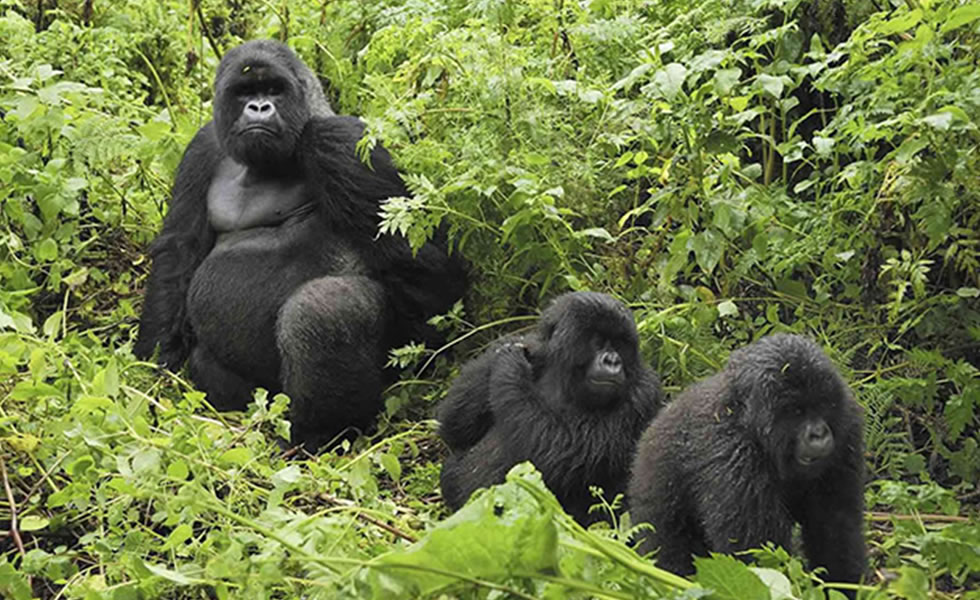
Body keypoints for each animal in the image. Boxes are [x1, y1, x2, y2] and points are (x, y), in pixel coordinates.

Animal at [132, 39, 466, 448]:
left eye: (274, 90)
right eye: (245, 92)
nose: (259, 107)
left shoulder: (339, 140)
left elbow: (431, 275)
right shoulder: (203, 146)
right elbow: (179, 253)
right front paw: (155, 366)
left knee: (323, 309)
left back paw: (320, 435)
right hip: (262, 397)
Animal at [438, 292, 664, 524]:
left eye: (619, 344)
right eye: (598, 342)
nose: (612, 360)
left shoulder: (644, 392)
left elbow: (558, 451)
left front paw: (510, 364)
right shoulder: (532, 348)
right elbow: (453, 427)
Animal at [628, 336, 864, 592]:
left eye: (823, 405)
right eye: (796, 411)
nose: (819, 434)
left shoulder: (847, 426)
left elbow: (835, 526)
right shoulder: (734, 455)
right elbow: (755, 552)